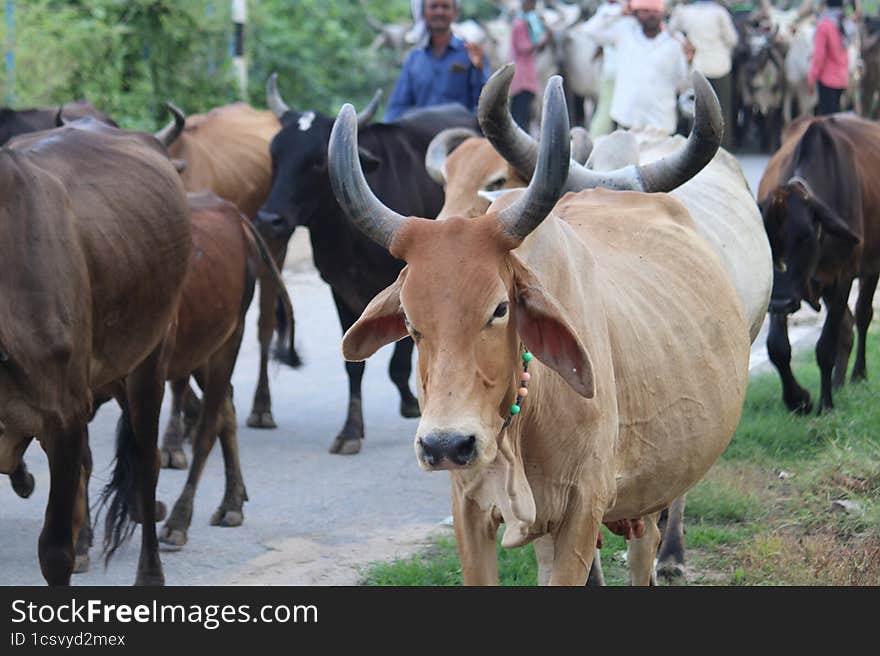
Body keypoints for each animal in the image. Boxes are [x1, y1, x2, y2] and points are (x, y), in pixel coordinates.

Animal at [254, 74, 482, 454]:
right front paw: (350, 431)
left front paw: (411, 404)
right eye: (274, 155)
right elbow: (354, 367)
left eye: (317, 161)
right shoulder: (339, 289)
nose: (270, 219)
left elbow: (401, 361)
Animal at [328, 72, 748, 584]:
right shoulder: (469, 508)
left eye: (500, 309)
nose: (446, 443)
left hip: (653, 482)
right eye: (409, 318)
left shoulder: (583, 508)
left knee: (643, 549)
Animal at [756, 114, 880, 412]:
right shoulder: (782, 287)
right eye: (765, 239)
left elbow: (825, 347)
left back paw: (857, 375)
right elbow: (777, 347)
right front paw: (798, 399)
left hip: (869, 268)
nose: (780, 302)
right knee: (848, 325)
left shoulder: (843, 275)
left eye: (806, 236)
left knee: (862, 315)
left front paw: (825, 404)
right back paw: (838, 382)